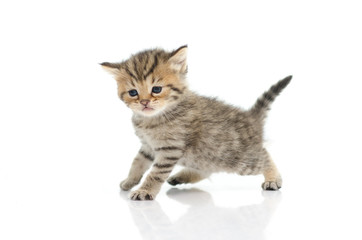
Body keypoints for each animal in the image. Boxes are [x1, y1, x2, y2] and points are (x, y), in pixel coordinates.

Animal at [100, 45, 292, 201]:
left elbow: (155, 173)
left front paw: (145, 190)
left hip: (239, 160)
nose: (144, 102)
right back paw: (181, 177)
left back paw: (273, 178)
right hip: (205, 158)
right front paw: (129, 181)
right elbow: (136, 164)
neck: (152, 119)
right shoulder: (147, 147)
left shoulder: (170, 149)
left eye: (156, 89)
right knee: (206, 169)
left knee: (264, 155)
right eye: (133, 92)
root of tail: (251, 117)